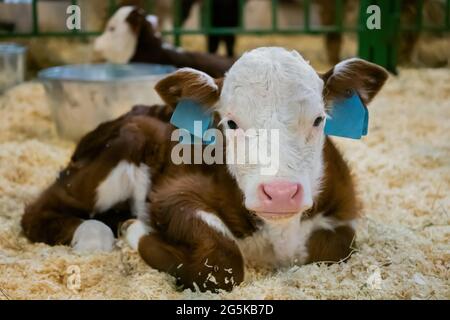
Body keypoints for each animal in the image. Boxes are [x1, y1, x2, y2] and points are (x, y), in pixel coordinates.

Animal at [22, 47, 386, 292]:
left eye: (318, 119)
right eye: (231, 123)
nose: (280, 193)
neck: (278, 233)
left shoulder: (343, 208)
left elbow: (335, 249)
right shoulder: (172, 194)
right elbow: (223, 261)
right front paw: (136, 229)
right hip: (124, 143)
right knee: (43, 213)